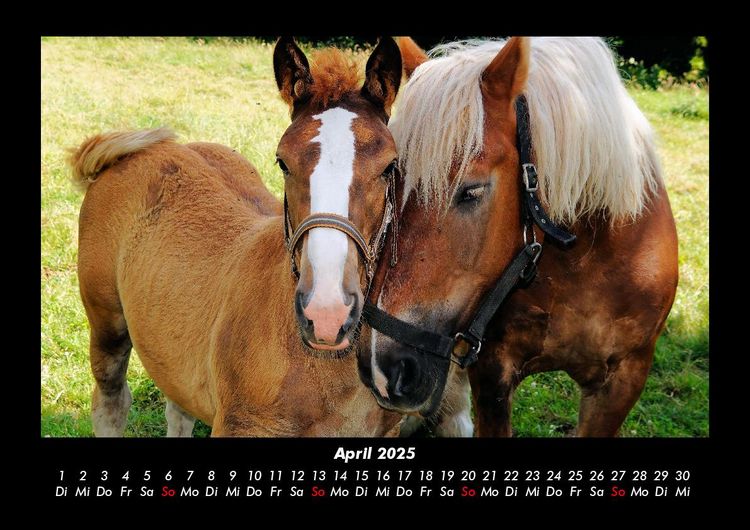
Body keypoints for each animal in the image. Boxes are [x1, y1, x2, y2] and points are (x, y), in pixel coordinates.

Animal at [71, 37, 405, 436]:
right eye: (282, 161)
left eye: (389, 165)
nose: (326, 312)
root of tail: (135, 151)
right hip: (106, 321)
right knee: (111, 400)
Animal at [358, 36, 678, 437]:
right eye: (390, 179)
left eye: (472, 191)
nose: (380, 368)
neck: (582, 259)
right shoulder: (492, 373)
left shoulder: (623, 380)